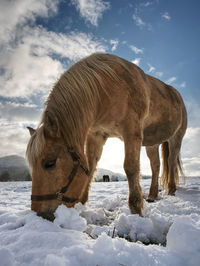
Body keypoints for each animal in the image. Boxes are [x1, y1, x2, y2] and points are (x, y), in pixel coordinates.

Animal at [25, 52, 187, 220]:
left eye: (50, 163)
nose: (40, 214)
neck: (106, 90)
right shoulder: (96, 135)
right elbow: (90, 167)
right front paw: (81, 202)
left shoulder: (132, 132)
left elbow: (131, 168)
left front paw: (136, 208)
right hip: (152, 143)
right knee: (156, 165)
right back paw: (152, 195)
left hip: (176, 138)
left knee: (171, 161)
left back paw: (171, 189)